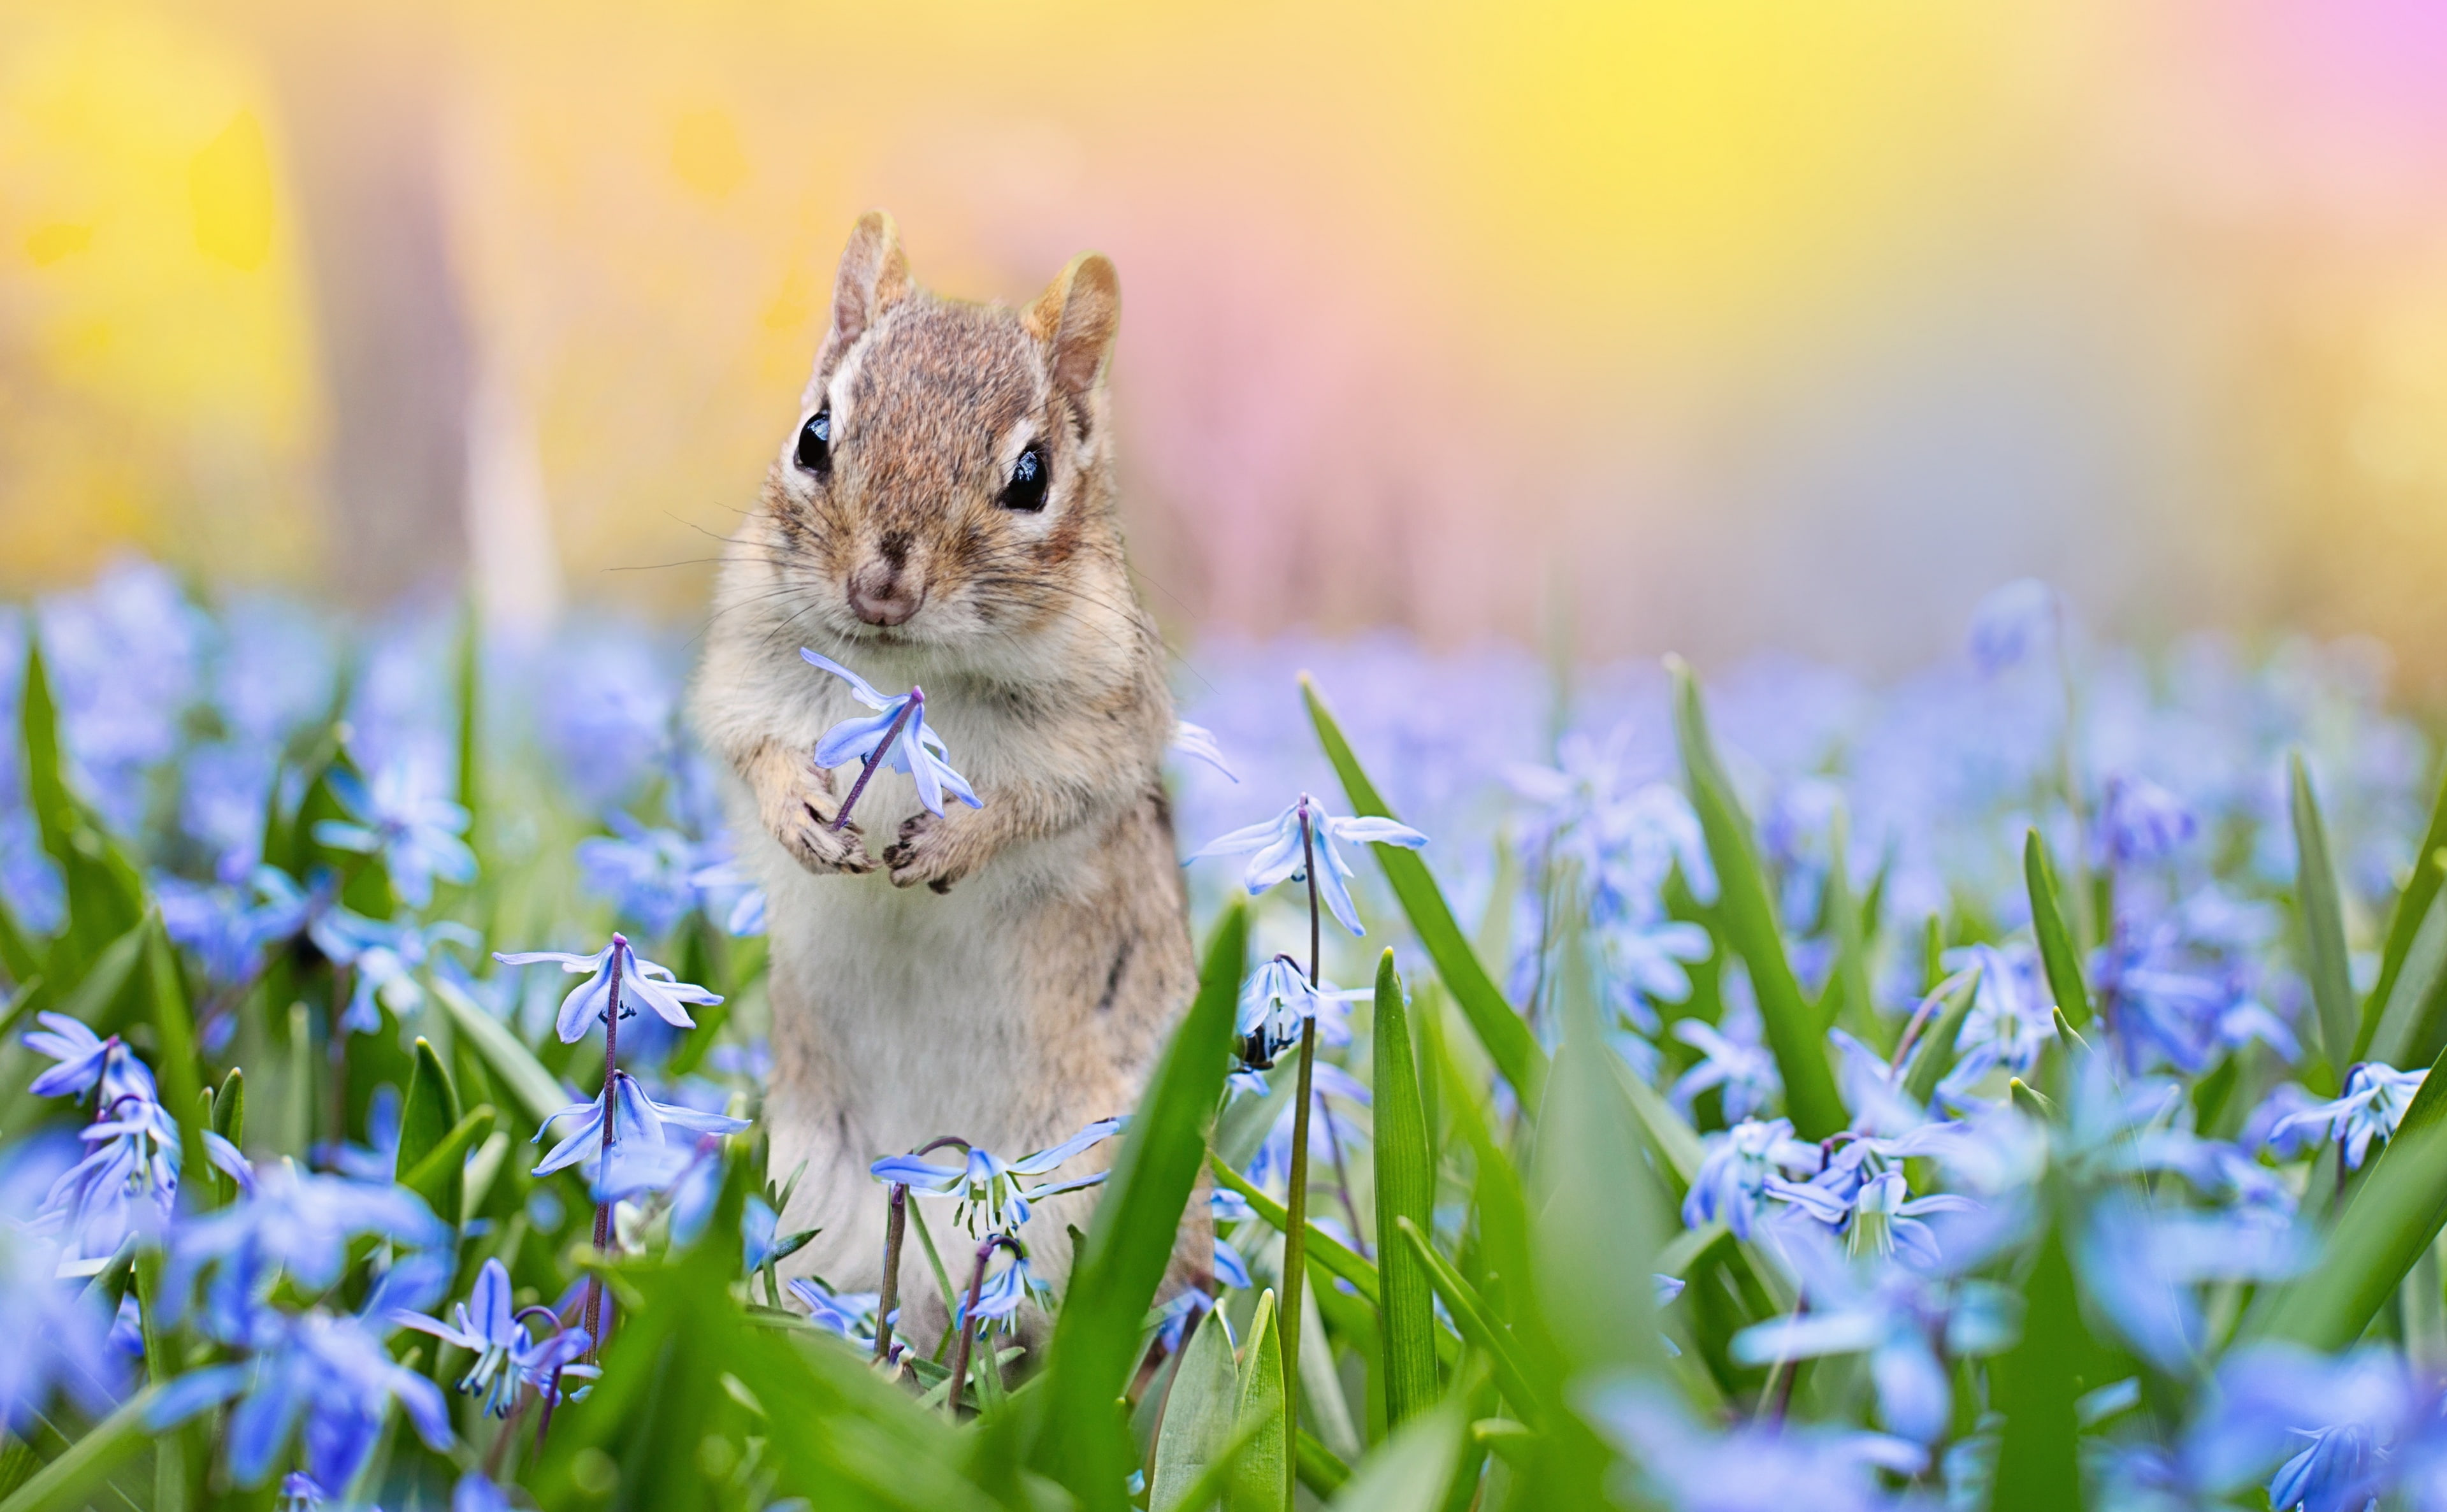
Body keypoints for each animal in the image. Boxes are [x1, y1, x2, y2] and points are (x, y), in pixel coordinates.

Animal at [690, 212, 1203, 1336]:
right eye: (814, 436)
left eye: (1032, 476)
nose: (882, 584)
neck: (902, 670)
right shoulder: (743, 673)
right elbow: (753, 750)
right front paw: (802, 813)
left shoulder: (1099, 729)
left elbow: (1041, 803)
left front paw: (951, 842)